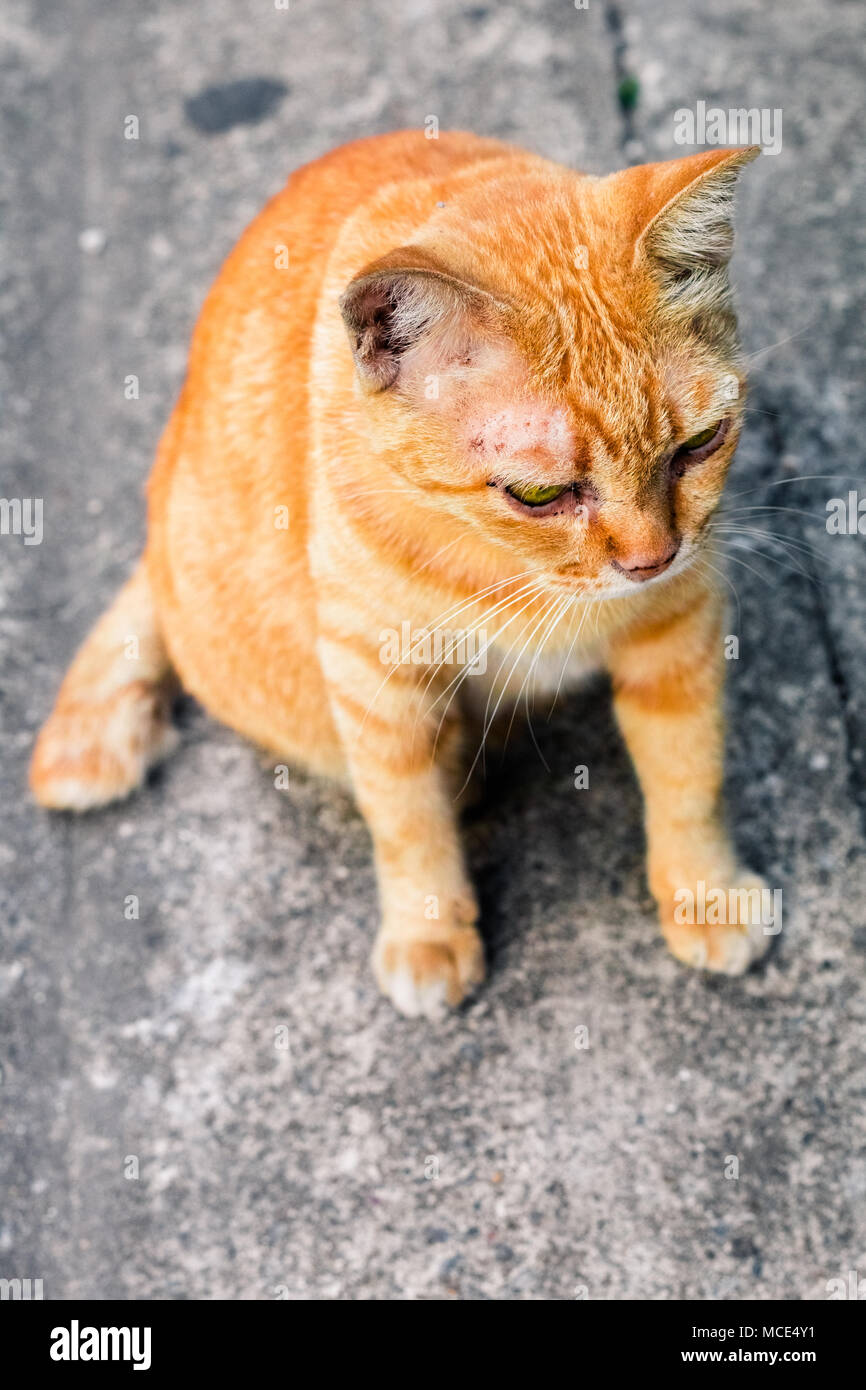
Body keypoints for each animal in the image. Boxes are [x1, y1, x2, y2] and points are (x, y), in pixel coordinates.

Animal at [30, 130, 772, 1017]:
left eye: (699, 445)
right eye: (538, 494)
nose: (651, 559)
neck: (520, 576)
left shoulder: (678, 628)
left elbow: (690, 771)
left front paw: (704, 893)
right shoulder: (374, 672)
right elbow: (406, 815)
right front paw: (428, 931)